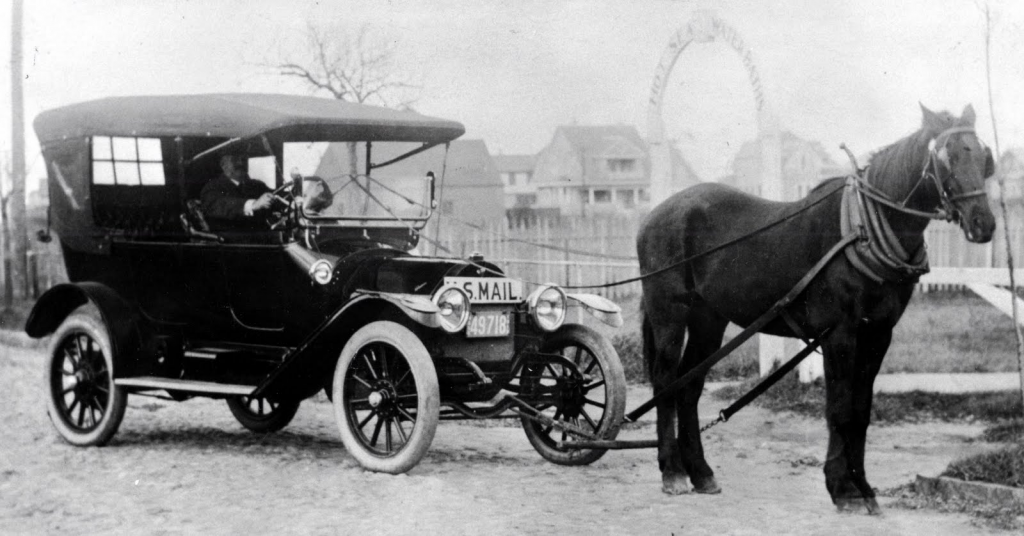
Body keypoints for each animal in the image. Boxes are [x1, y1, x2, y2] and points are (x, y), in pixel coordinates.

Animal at [634, 102, 995, 514]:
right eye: (947, 157)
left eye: (983, 157)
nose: (984, 223)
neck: (861, 230)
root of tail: (658, 212)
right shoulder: (839, 333)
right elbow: (839, 408)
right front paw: (842, 488)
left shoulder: (877, 334)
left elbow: (860, 410)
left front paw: (863, 486)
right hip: (670, 313)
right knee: (665, 380)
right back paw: (673, 471)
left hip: (709, 319)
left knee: (689, 384)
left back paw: (701, 472)